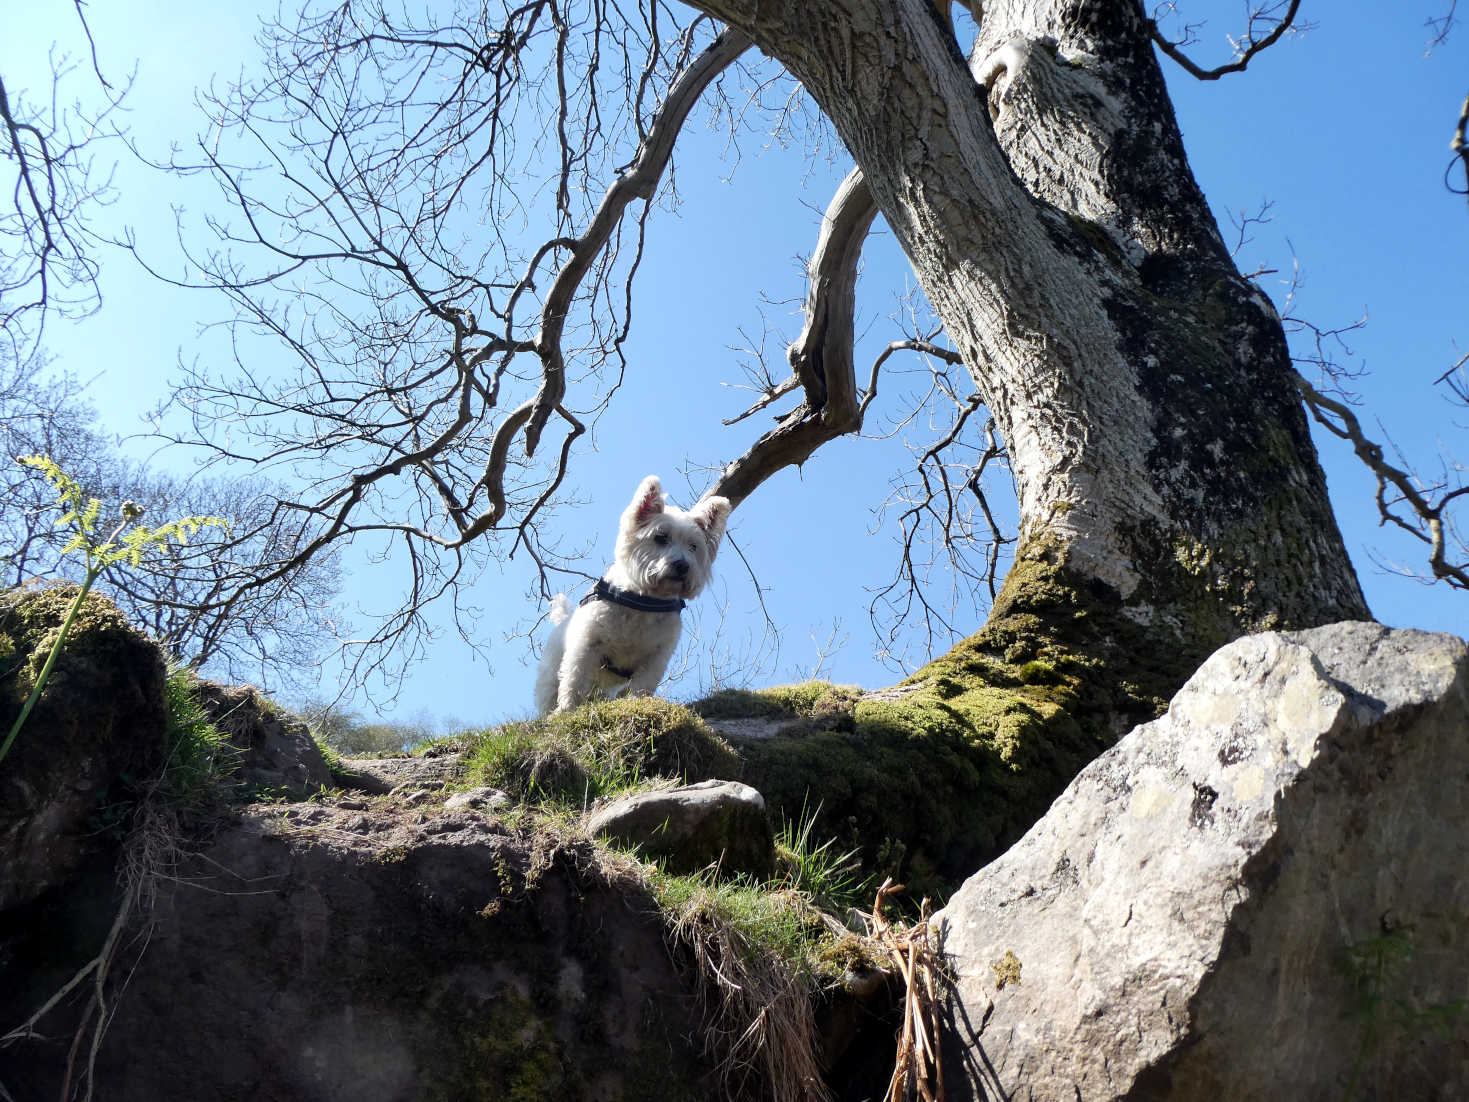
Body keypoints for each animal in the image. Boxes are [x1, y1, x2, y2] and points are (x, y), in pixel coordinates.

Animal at [531, 476, 731, 717]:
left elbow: (641, 686)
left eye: (693, 546)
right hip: (551, 673)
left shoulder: (655, 657)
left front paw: (639, 704)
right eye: (660, 537)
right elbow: (575, 680)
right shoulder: (587, 645)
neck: (645, 602)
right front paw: (567, 710)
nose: (683, 566)